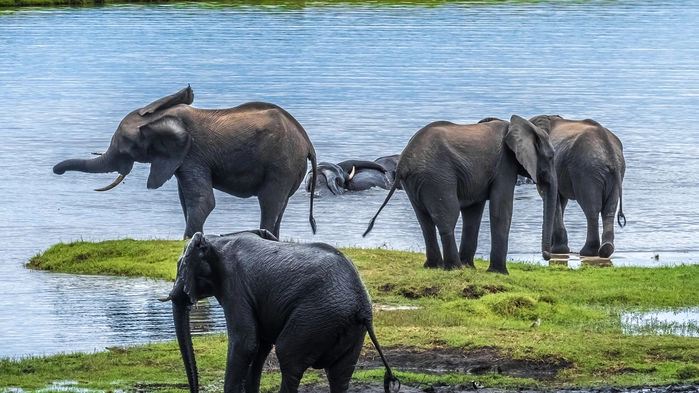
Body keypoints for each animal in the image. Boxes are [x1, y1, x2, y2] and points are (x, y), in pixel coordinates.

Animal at [53, 86, 316, 239]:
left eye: (126, 147)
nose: (56, 172)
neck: (160, 117)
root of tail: (307, 142)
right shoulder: (181, 160)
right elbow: (184, 199)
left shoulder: (193, 154)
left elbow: (202, 200)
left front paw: (189, 241)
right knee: (280, 205)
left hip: (282, 163)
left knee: (269, 201)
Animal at [160, 230, 400, 392]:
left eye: (179, 266)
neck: (218, 238)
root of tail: (361, 305)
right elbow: (259, 346)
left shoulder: (235, 286)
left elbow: (245, 344)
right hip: (347, 329)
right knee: (340, 375)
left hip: (315, 317)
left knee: (289, 360)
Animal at [366, 114, 556, 272]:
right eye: (551, 157)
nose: (547, 255)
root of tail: (403, 163)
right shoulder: (504, 165)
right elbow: (501, 210)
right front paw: (499, 273)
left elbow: (473, 213)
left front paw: (470, 267)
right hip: (437, 176)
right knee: (448, 216)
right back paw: (454, 268)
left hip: (415, 183)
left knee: (425, 221)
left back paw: (434, 266)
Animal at [532, 113, 628, 258]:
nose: (546, 254)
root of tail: (609, 149)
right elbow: (560, 200)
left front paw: (558, 250)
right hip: (615, 174)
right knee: (609, 209)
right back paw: (606, 250)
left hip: (586, 170)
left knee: (591, 209)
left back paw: (588, 252)